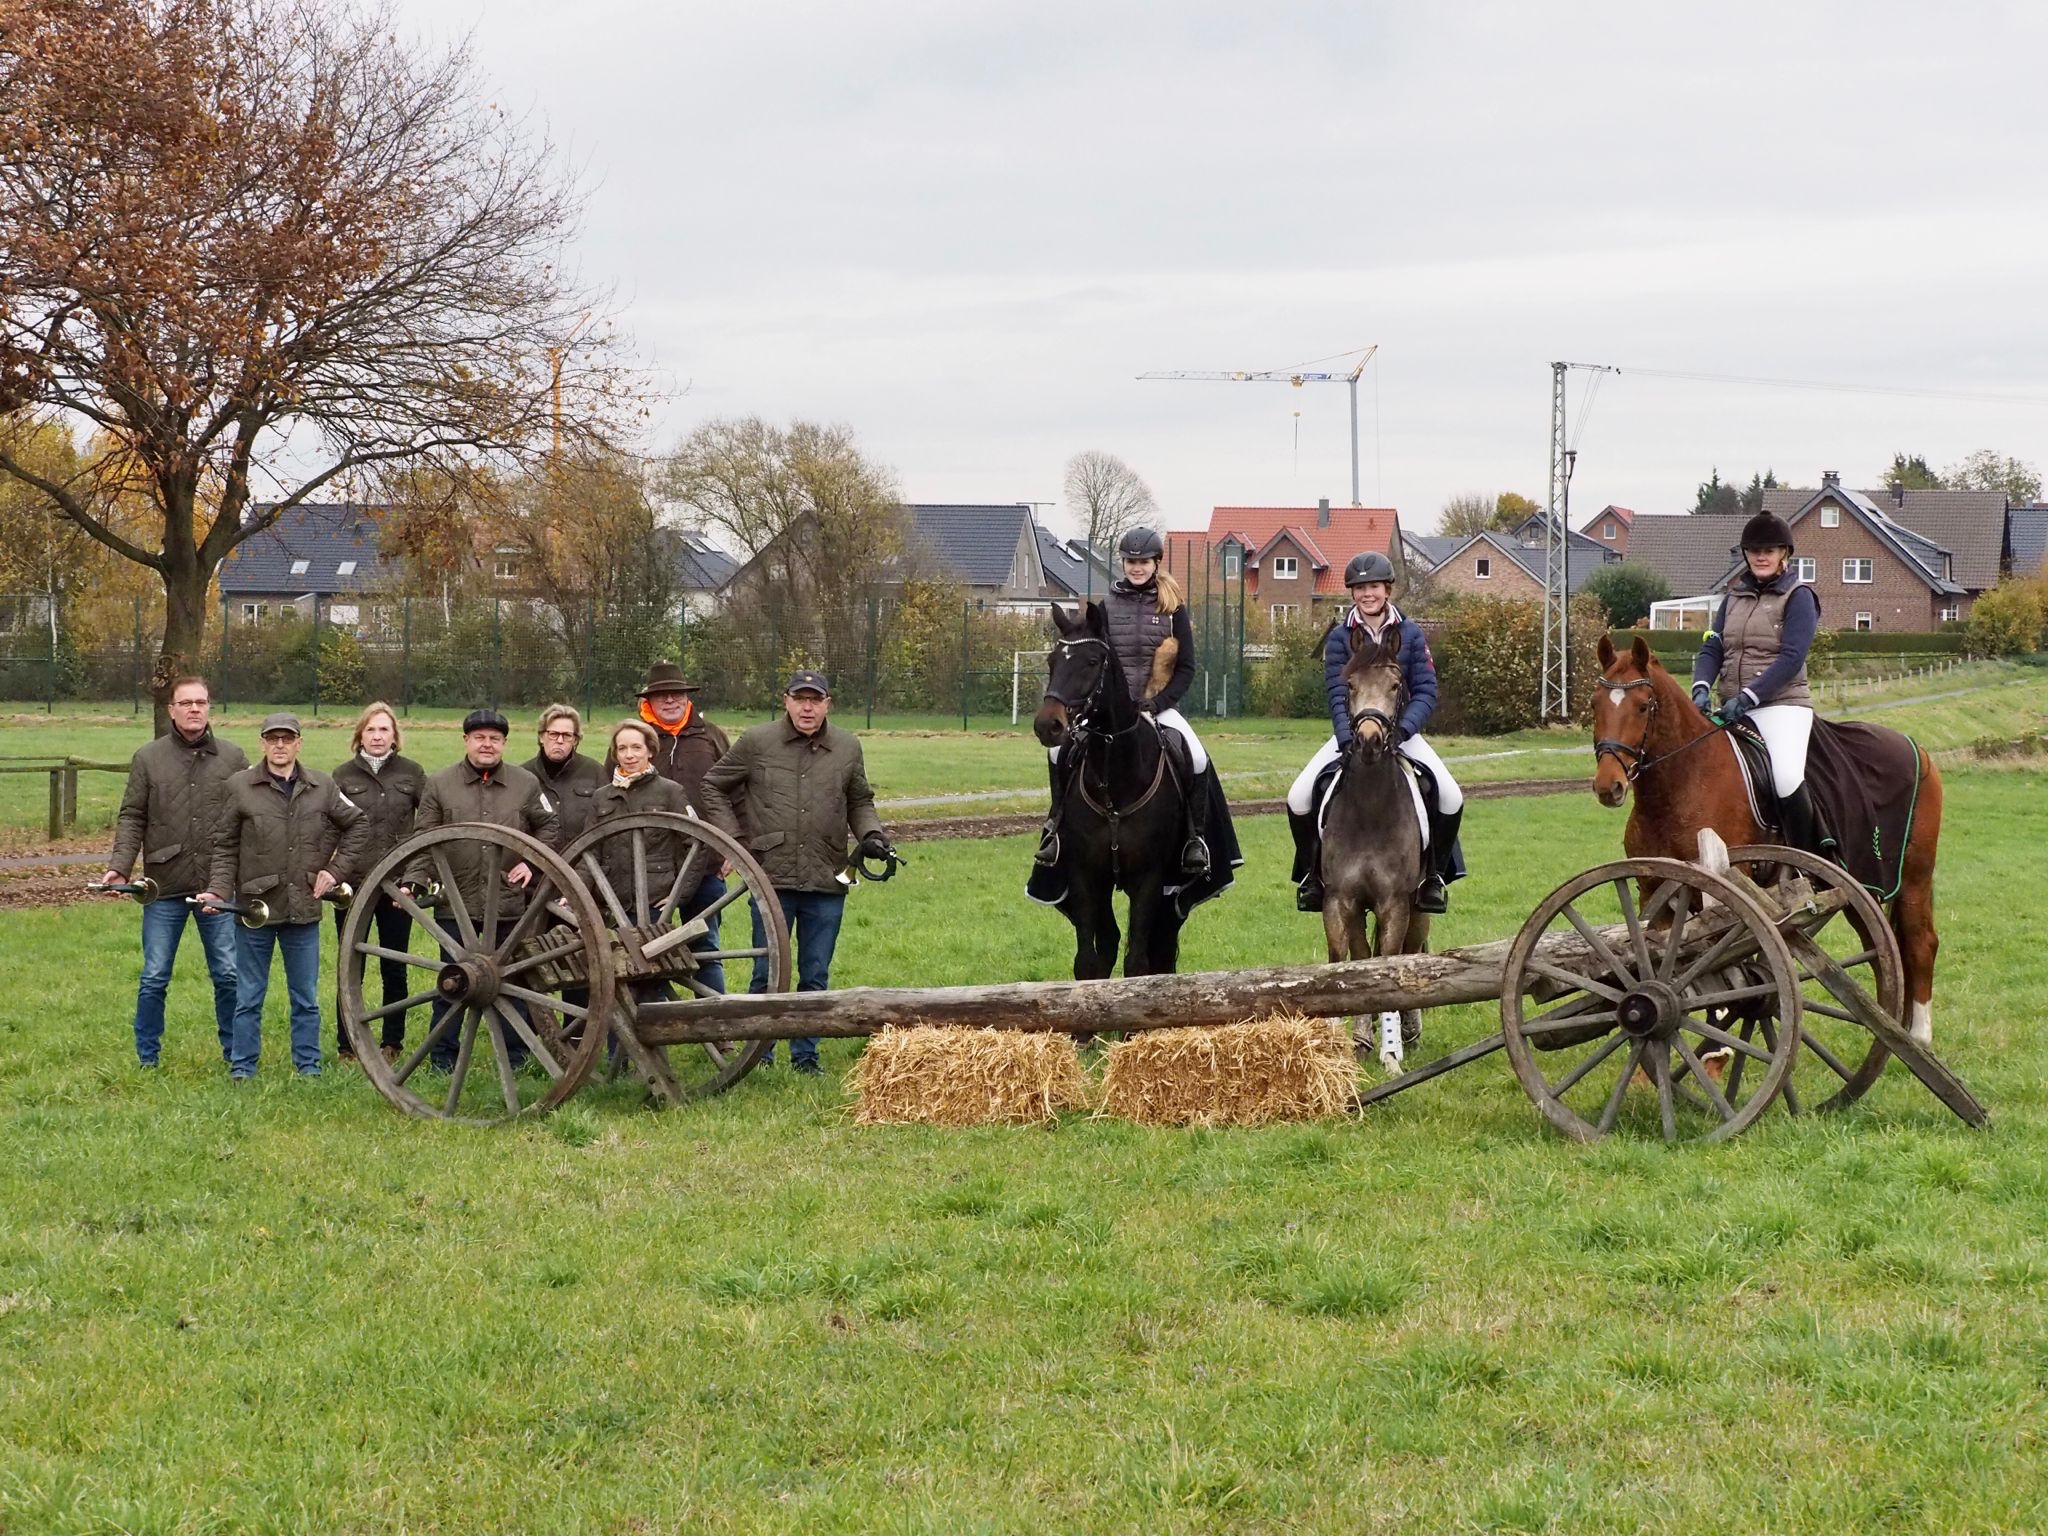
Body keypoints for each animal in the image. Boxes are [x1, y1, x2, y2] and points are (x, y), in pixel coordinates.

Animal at [1318, 626, 1430, 1069]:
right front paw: (1345, 1044)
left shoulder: (1395, 903)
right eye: (1349, 684)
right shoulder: (1339, 900)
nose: (1368, 740)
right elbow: (1344, 964)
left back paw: (1410, 1029)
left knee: (1411, 951)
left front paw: (1391, 1053)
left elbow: (1389, 967)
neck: (1369, 809)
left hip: (1420, 906)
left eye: (1395, 685)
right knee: (1364, 955)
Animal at [1590, 633, 1943, 1045]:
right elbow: (1656, 961)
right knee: (1879, 949)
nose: (1608, 786)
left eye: (1644, 706)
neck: (1683, 782)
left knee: (1919, 944)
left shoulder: (1724, 882)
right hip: (1858, 885)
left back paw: (1918, 1036)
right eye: (1595, 703)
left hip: (1911, 877)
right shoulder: (1652, 889)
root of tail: (1919, 750)